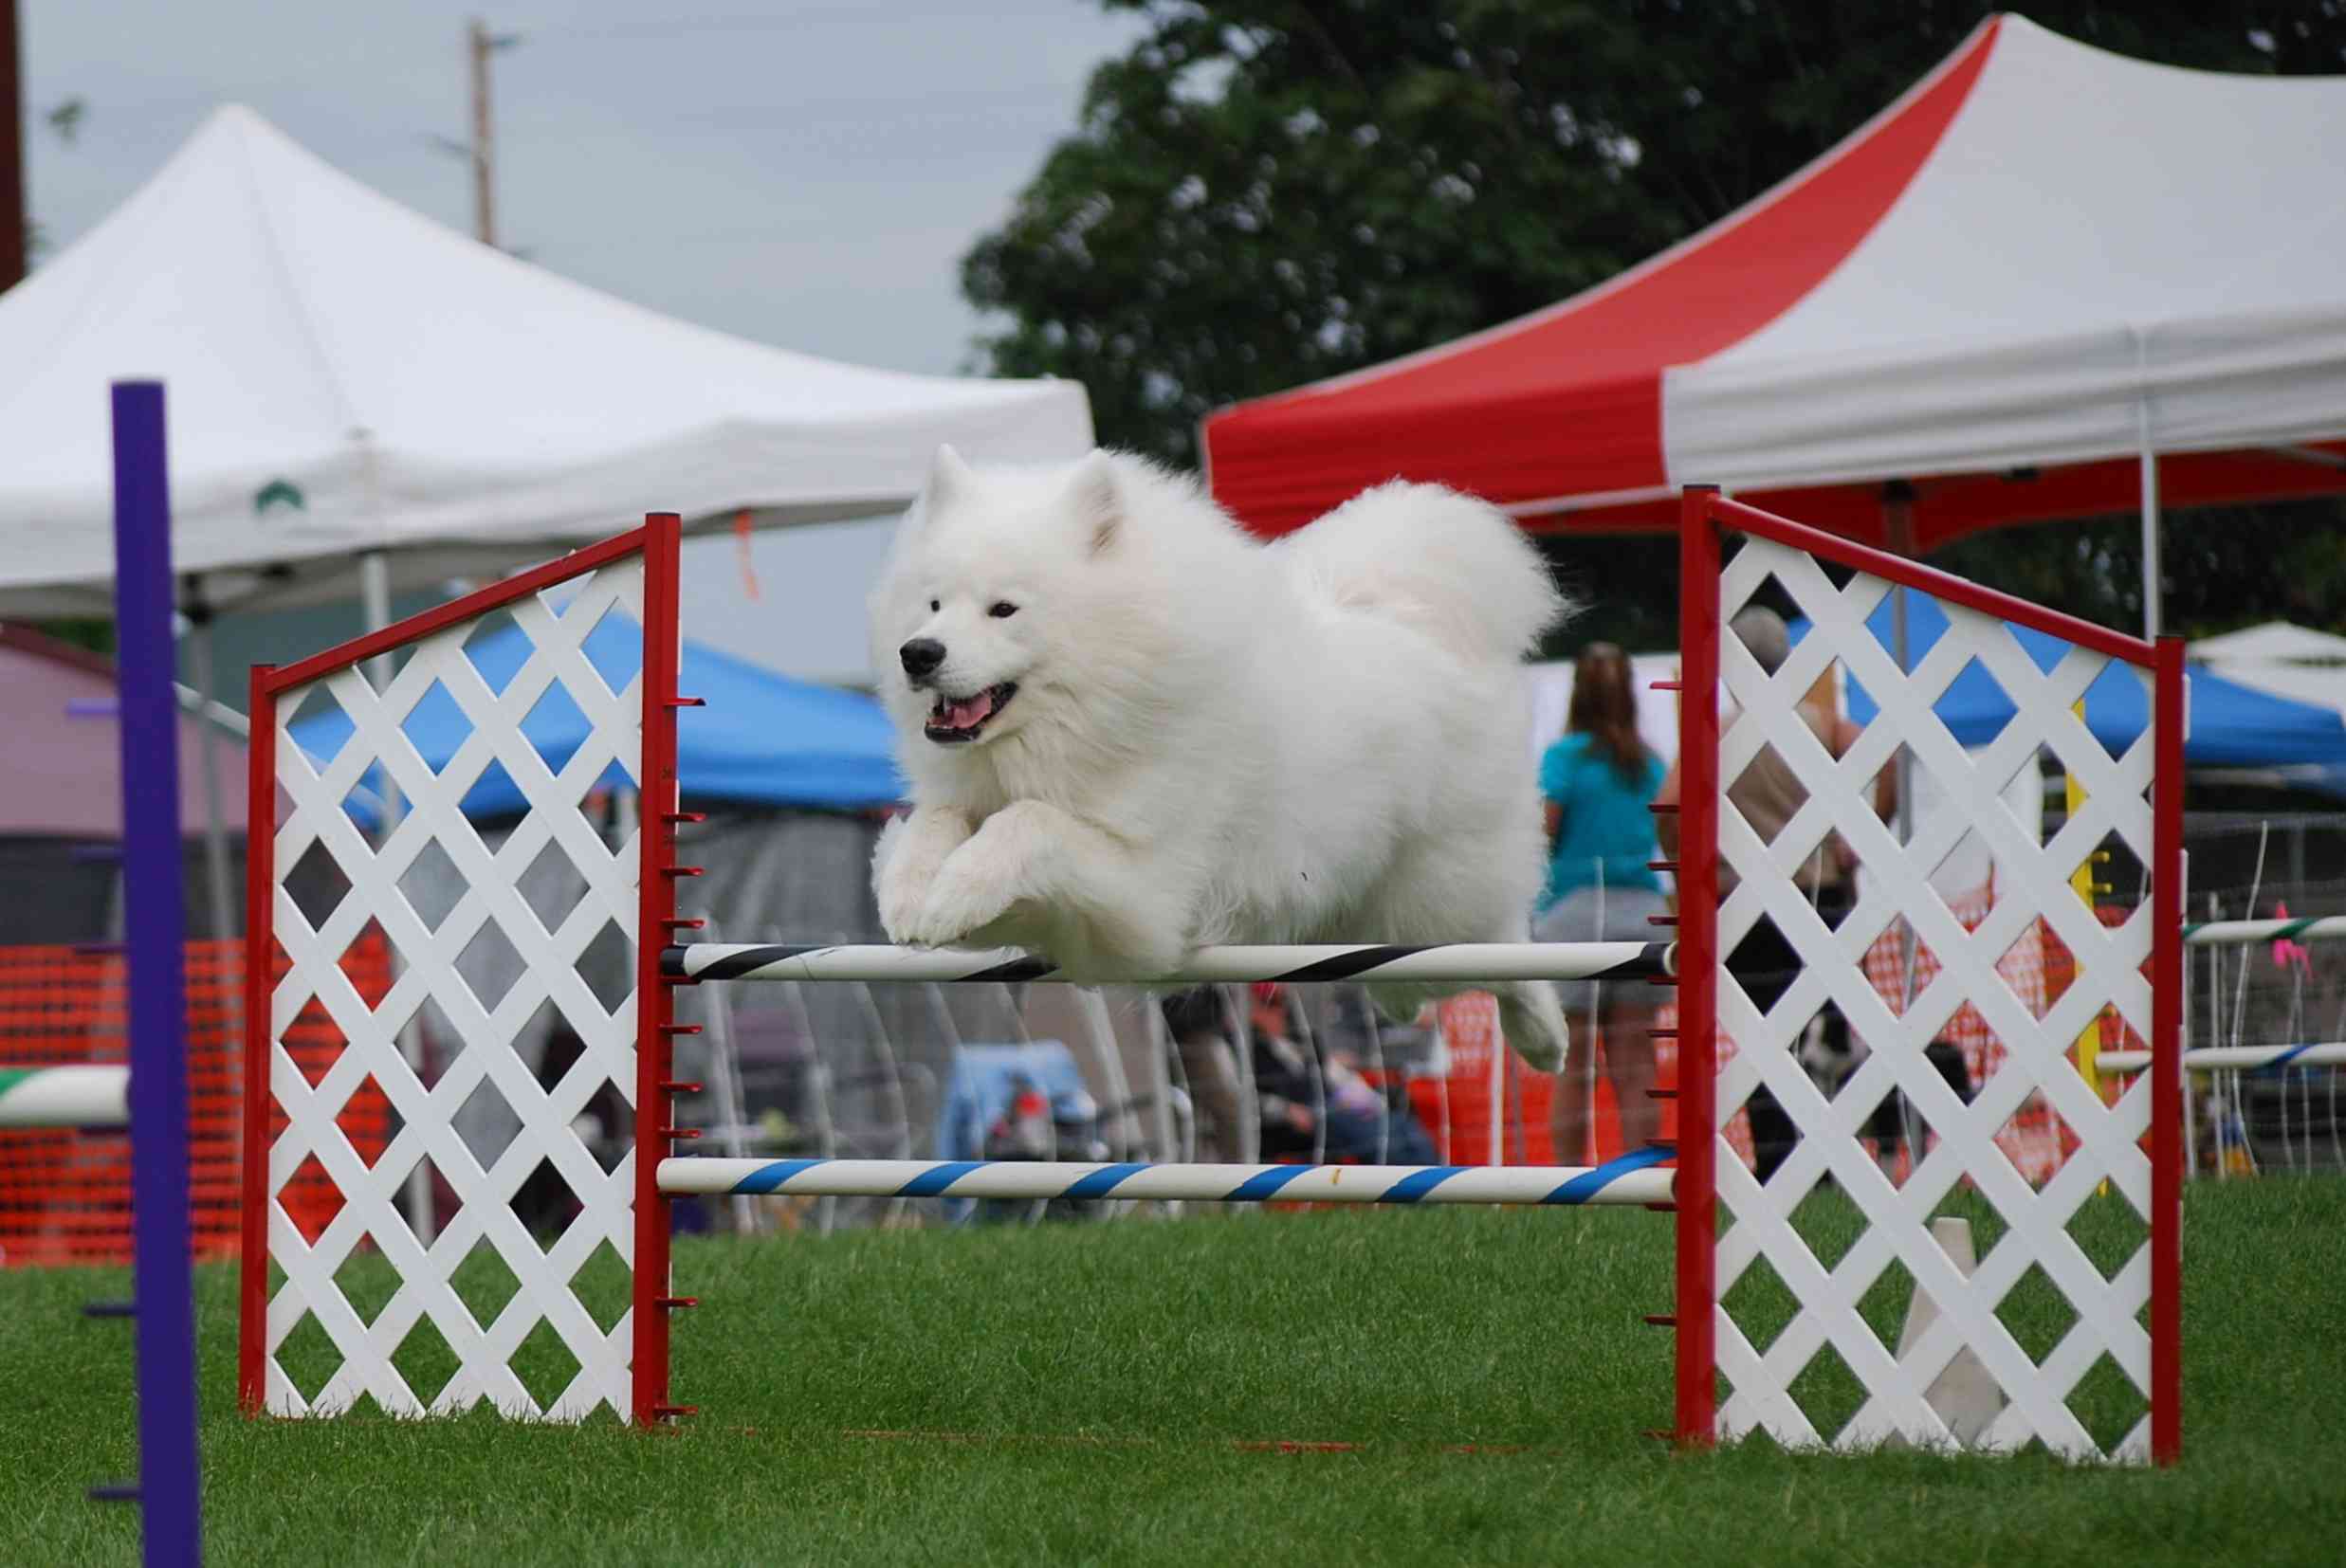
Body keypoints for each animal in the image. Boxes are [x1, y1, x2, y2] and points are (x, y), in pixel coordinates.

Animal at [868, 445, 1576, 1068]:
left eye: (1004, 609)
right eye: (934, 603)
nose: (918, 653)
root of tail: (1417, 620)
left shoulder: (1147, 893)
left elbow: (1030, 822)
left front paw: (954, 890)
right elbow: (936, 821)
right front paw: (910, 893)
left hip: (1435, 897)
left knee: (1501, 948)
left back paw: (1544, 1036)